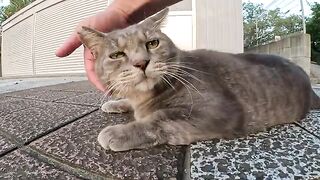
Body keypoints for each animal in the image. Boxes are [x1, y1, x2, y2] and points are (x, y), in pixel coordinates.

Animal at [77, 8, 320, 152]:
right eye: (117, 55)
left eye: (152, 43)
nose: (141, 62)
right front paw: (115, 103)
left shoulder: (215, 110)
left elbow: (157, 120)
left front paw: (117, 132)